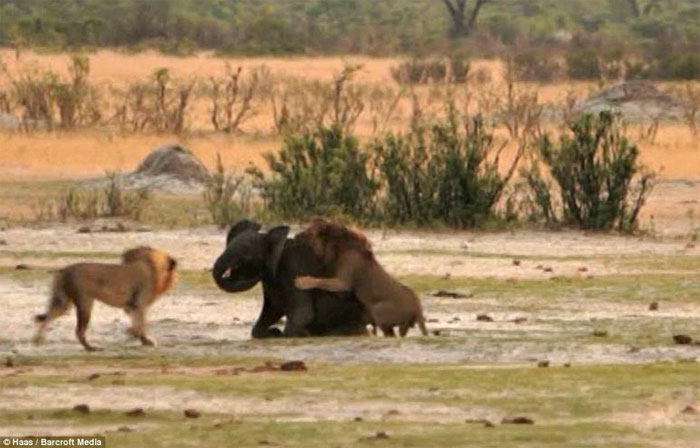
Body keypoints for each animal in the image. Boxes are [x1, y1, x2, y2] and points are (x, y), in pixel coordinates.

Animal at [33, 246, 178, 351]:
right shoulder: (139, 304)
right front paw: (145, 340)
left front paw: (135, 335)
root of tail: (64, 269)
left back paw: (37, 340)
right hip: (85, 302)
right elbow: (142, 323)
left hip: (63, 303)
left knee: (47, 317)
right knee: (79, 330)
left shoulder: (131, 306)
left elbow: (137, 322)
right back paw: (92, 348)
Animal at [211, 220, 368, 338]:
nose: (229, 274)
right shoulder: (271, 279)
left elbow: (302, 314)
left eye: (246, 255)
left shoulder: (293, 266)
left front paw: (289, 333)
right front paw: (273, 332)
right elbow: (273, 310)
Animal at [294, 218, 428, 337]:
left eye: (309, 231)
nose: (296, 236)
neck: (340, 248)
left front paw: (302, 281)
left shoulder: (343, 283)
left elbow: (322, 281)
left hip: (378, 310)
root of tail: (418, 308)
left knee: (393, 333)